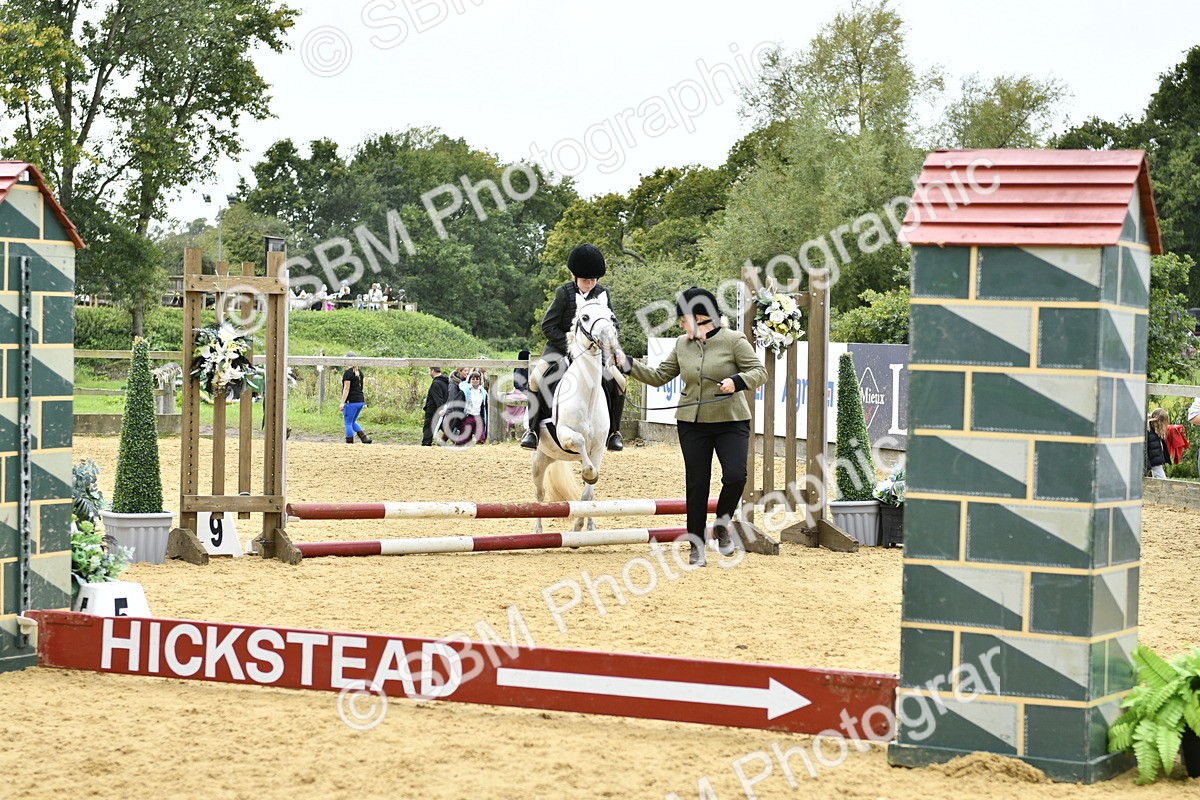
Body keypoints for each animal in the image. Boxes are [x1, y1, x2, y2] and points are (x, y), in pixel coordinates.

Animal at [531, 299, 625, 533]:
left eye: (611, 317)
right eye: (585, 317)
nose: (608, 337)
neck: (587, 395)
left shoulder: (598, 449)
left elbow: (588, 492)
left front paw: (580, 525)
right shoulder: (565, 433)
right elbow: (580, 440)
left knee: (590, 493)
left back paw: (591, 525)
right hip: (539, 459)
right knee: (540, 493)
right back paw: (538, 530)